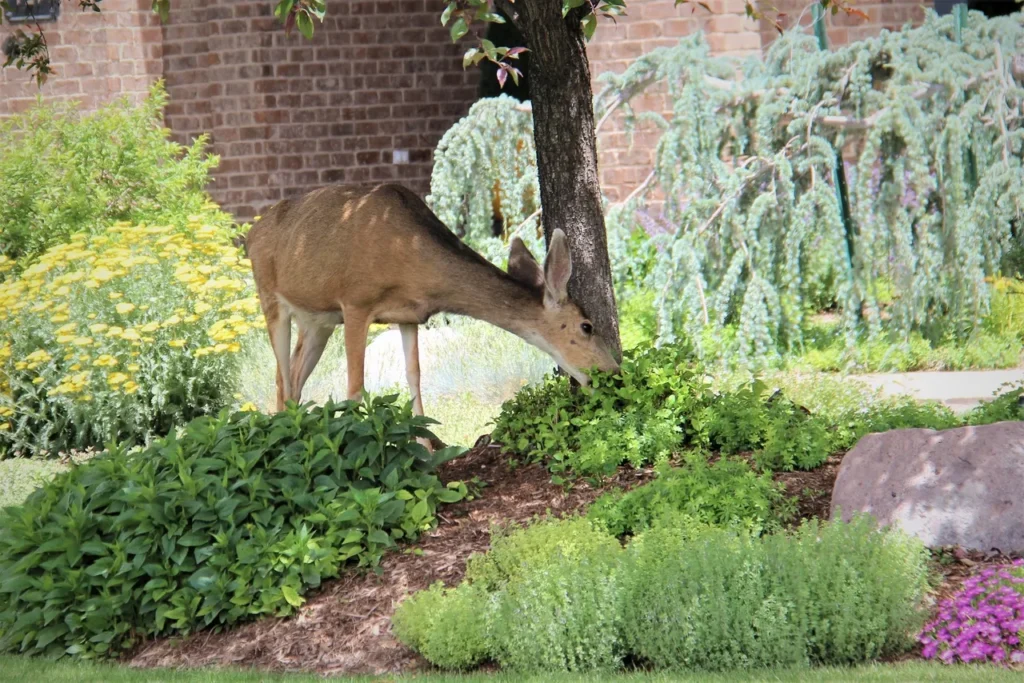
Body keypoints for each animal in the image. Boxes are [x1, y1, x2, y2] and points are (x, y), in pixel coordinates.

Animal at [243, 183, 618, 448]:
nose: (614, 372)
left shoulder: (409, 315)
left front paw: (425, 446)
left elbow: (414, 375)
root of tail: (250, 234)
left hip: (317, 320)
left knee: (293, 373)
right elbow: (355, 385)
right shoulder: (356, 302)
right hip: (269, 294)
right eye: (587, 326)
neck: (411, 258)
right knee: (282, 374)